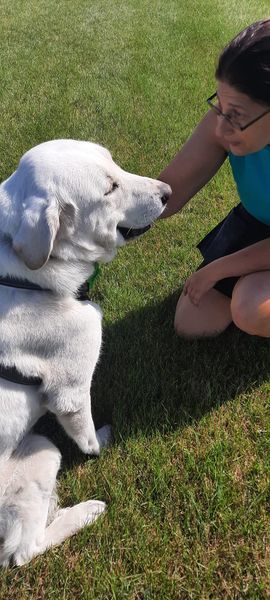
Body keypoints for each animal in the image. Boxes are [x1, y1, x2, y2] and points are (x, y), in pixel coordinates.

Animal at [0, 138, 170, 564]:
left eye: (117, 165)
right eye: (109, 189)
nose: (168, 192)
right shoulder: (71, 394)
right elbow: (88, 437)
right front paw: (101, 445)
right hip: (42, 453)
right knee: (25, 551)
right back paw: (88, 512)